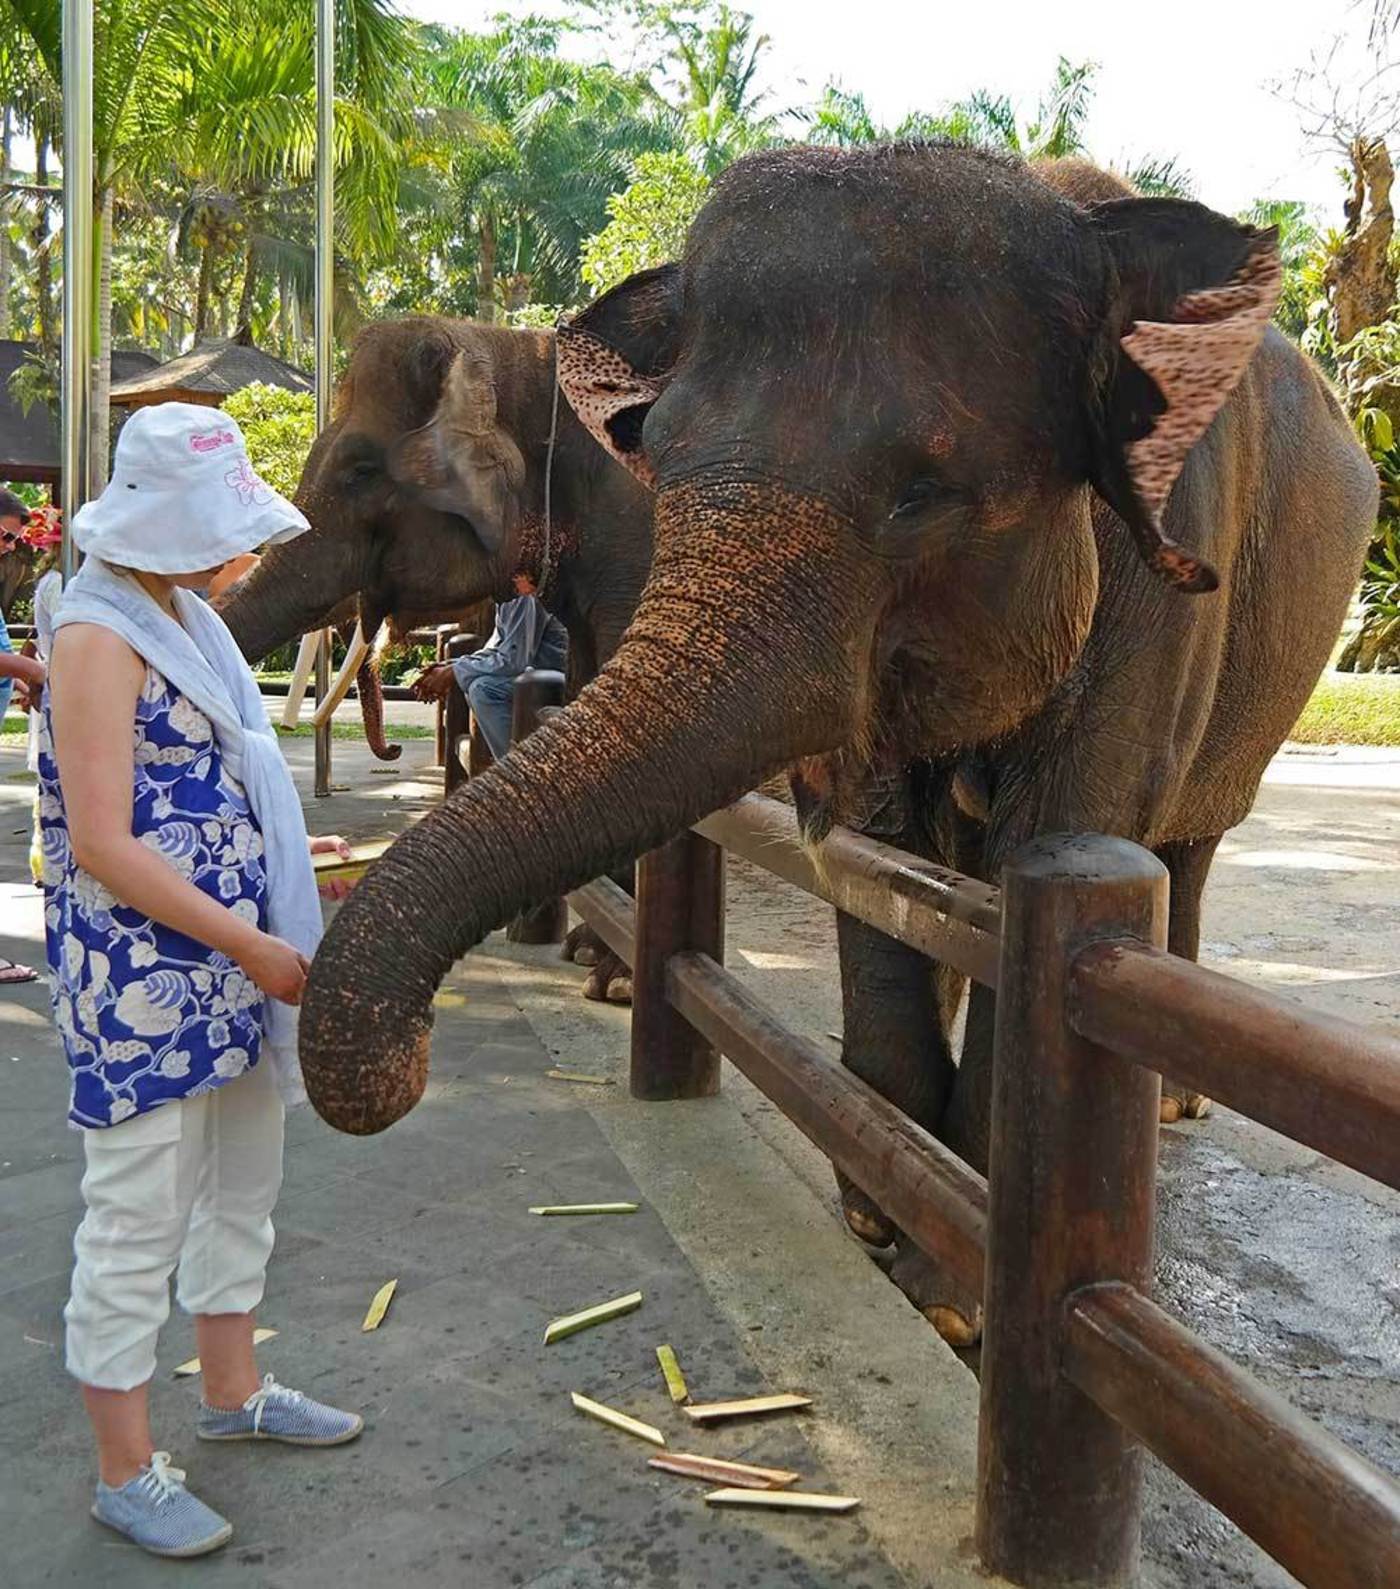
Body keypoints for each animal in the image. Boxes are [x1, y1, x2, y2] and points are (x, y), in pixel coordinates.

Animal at [297, 149, 1379, 1334]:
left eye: (923, 496)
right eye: (656, 450)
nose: (411, 1053)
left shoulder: (1171, 570)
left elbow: (1062, 828)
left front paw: (949, 1297)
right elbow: (874, 848)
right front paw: (880, 1212)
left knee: (1182, 845)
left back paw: (1173, 1099)